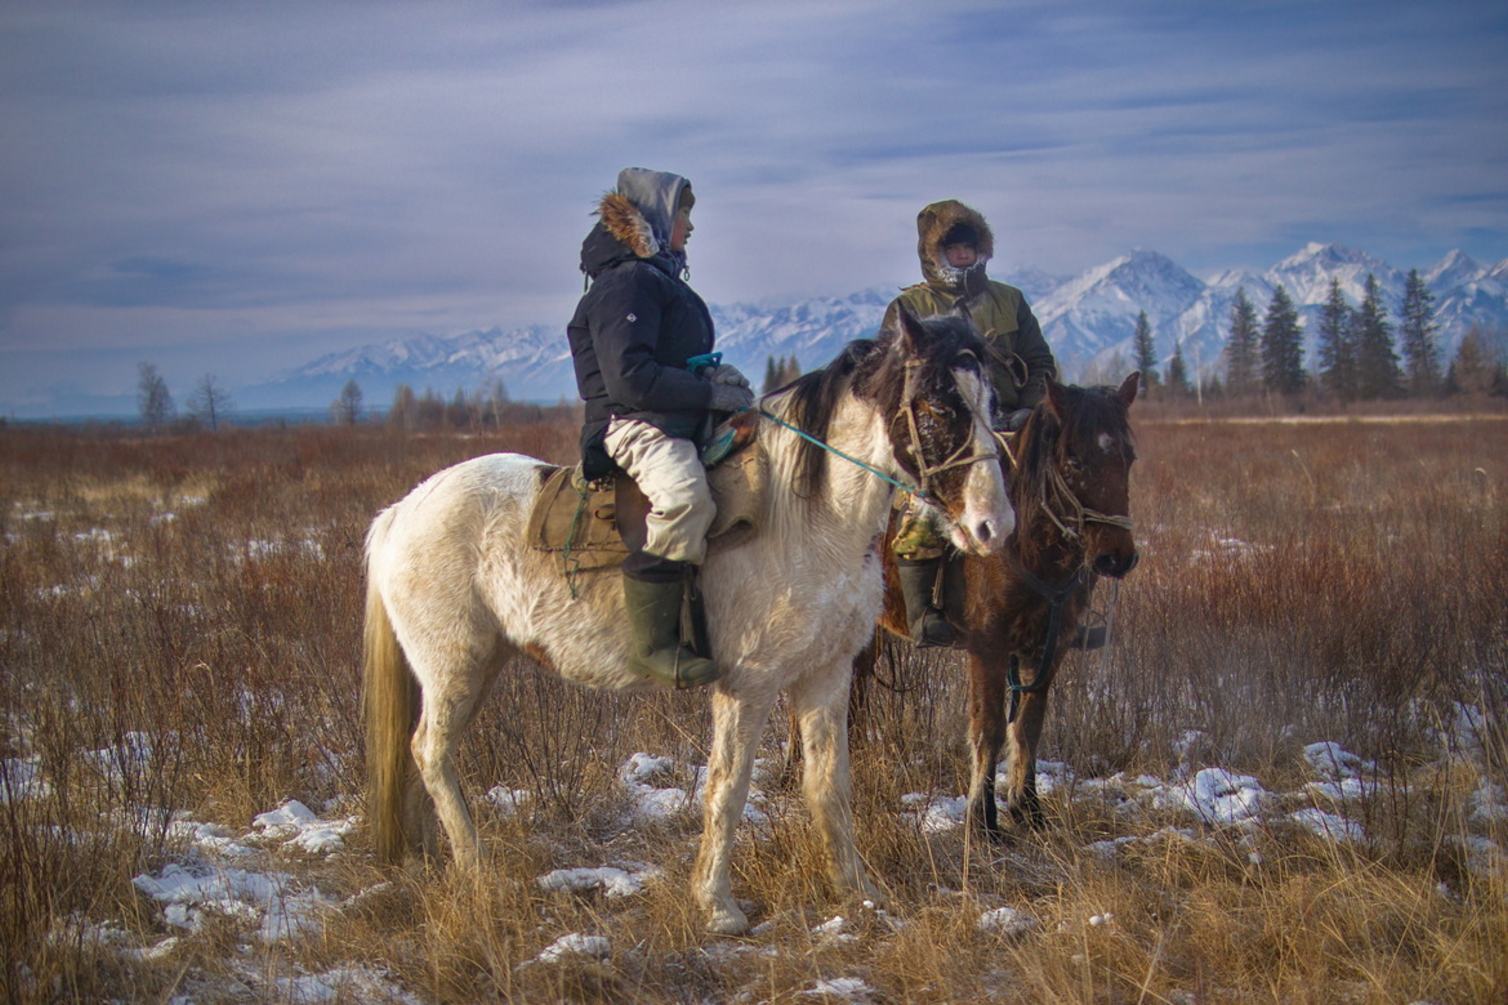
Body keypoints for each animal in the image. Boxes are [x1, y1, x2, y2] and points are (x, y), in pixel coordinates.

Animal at [361, 304, 1013, 929]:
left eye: (991, 402)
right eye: (935, 404)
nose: (994, 526)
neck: (809, 520)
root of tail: (401, 510)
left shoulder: (826, 674)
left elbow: (829, 785)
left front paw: (858, 892)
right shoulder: (747, 686)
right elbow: (728, 787)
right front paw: (718, 905)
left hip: (477, 666)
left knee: (422, 759)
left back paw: (426, 859)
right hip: (456, 668)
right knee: (431, 752)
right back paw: (476, 870)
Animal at [868, 371, 1134, 832]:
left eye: (1129, 457)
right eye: (1075, 461)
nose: (1117, 556)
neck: (1026, 545)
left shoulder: (1048, 647)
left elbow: (1028, 724)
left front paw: (1028, 808)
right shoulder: (987, 646)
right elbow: (989, 727)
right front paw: (982, 819)